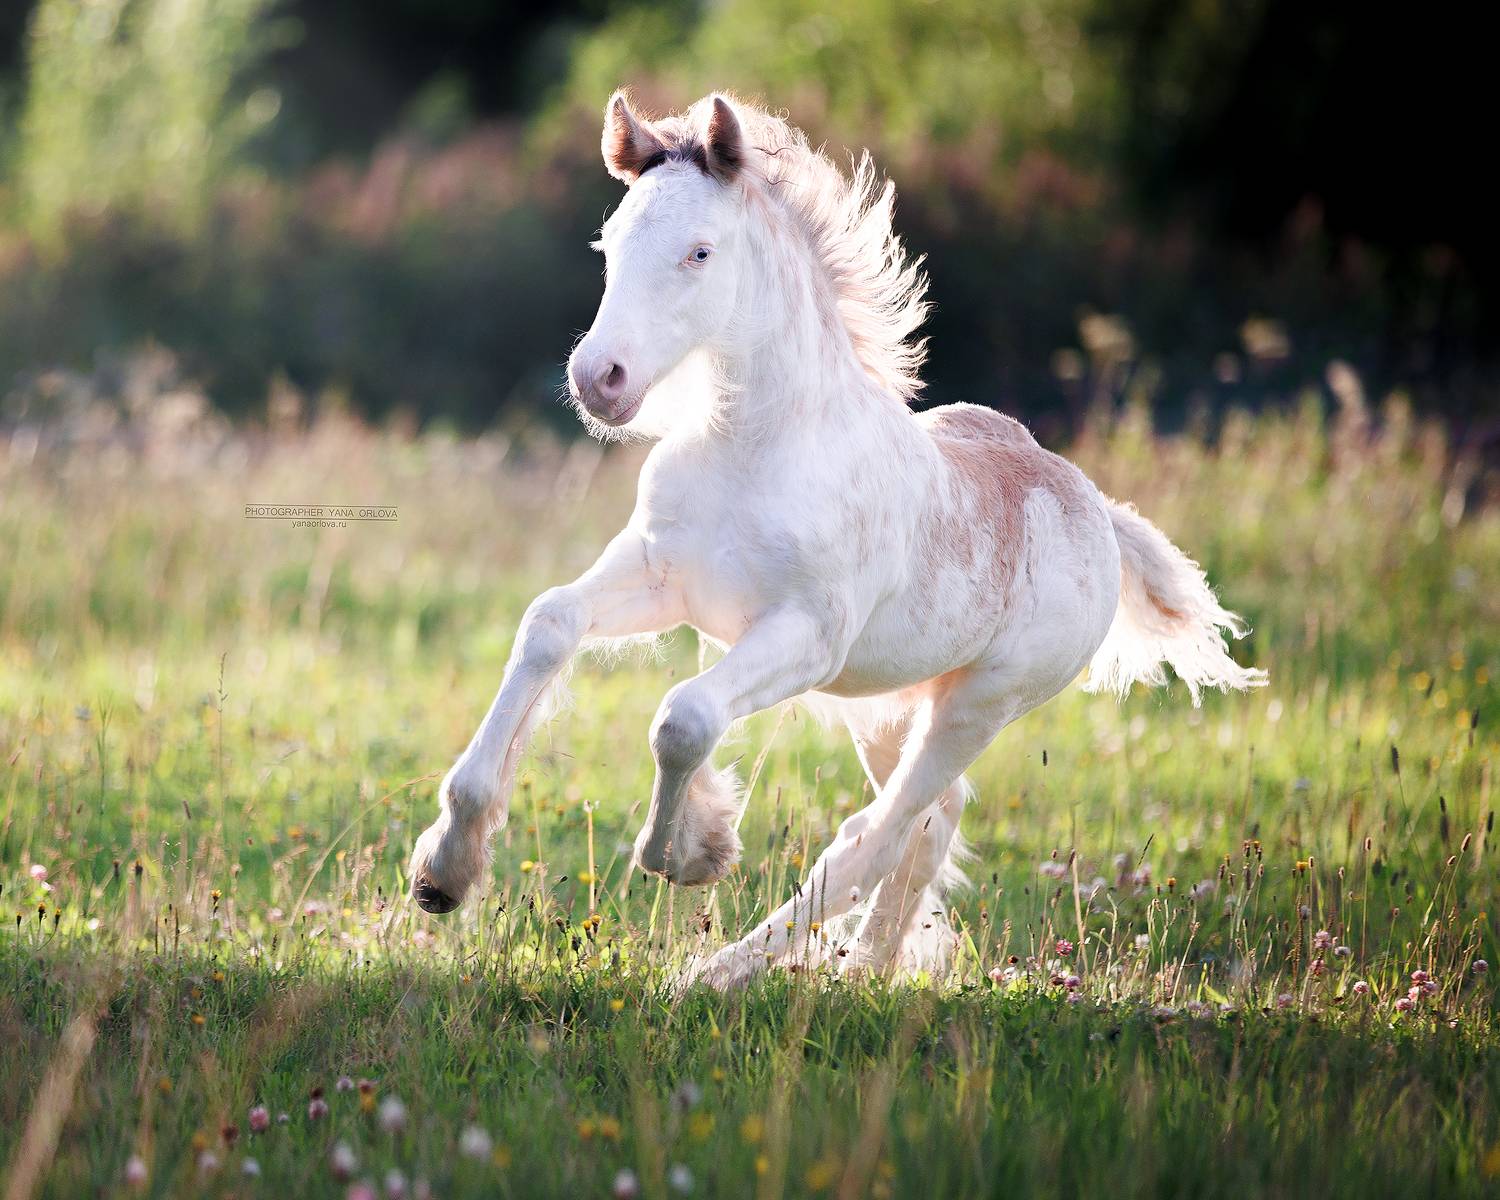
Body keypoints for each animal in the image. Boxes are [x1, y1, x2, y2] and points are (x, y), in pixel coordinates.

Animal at [407, 91, 1265, 990]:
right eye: (609, 244)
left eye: (700, 252)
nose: (598, 380)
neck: (755, 447)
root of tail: (1095, 506)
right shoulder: (663, 577)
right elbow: (550, 625)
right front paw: (444, 871)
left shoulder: (807, 636)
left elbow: (684, 717)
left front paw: (692, 850)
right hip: (891, 704)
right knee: (928, 822)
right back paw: (869, 970)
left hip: (981, 704)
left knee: (878, 833)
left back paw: (721, 977)